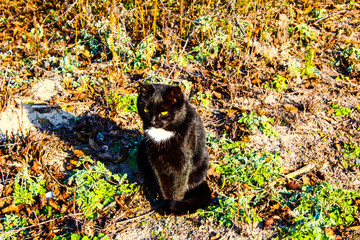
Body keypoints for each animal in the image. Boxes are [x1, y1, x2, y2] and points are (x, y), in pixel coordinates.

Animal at [137, 82, 211, 214]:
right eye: (146, 110)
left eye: (164, 112)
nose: (152, 122)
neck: (162, 134)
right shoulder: (155, 160)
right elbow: (162, 184)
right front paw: (165, 204)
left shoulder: (183, 163)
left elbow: (178, 187)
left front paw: (174, 206)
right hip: (141, 151)